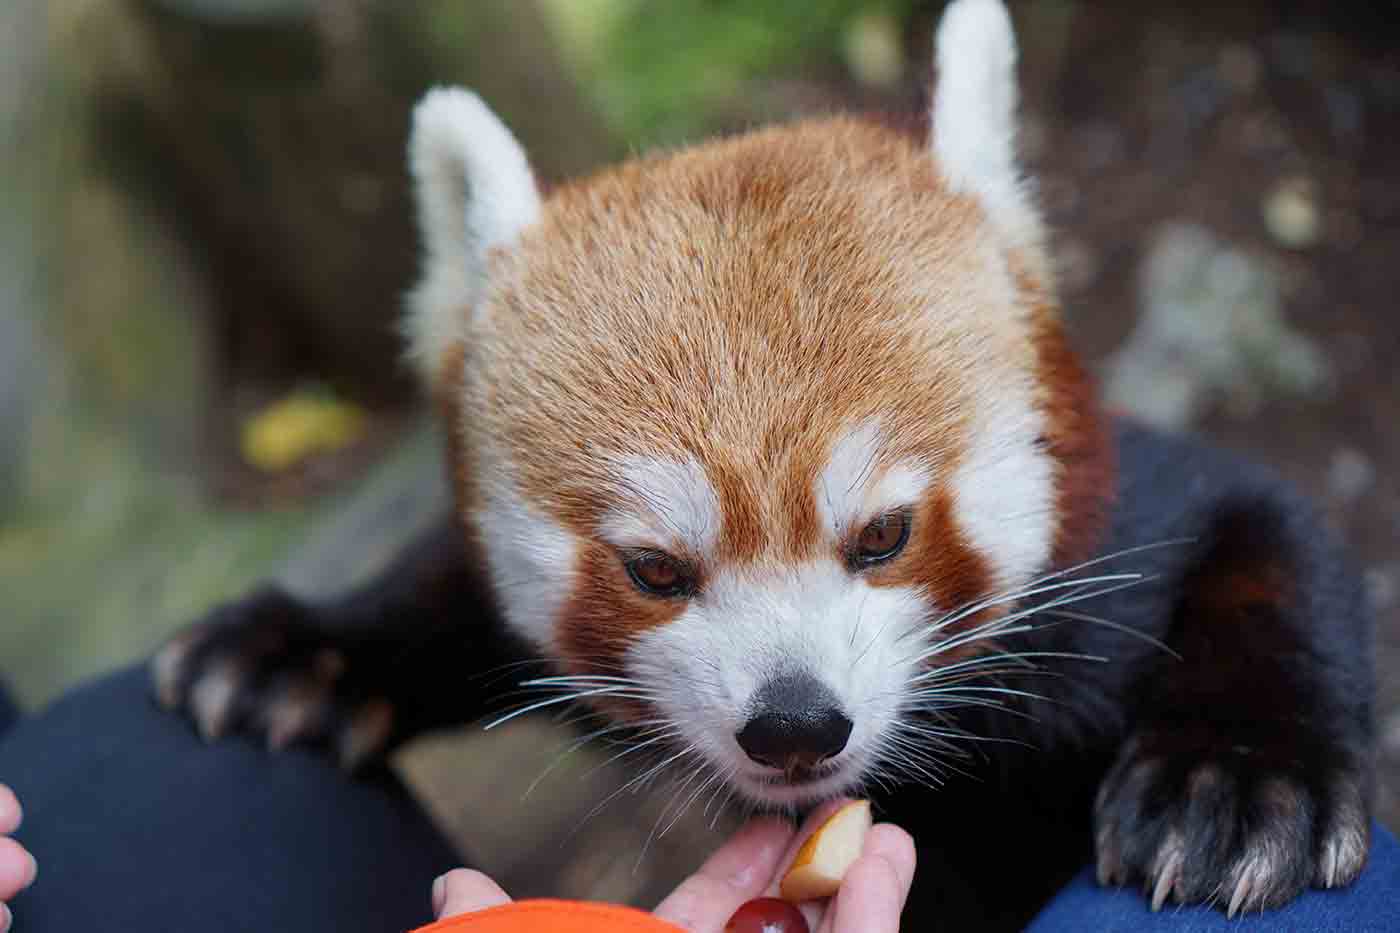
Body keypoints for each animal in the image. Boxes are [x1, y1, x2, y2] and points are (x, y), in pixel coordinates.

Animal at [153, 1, 1366, 924]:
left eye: (884, 534)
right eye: (652, 569)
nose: (793, 724)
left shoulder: (1109, 549)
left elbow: (1262, 535)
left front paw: (1238, 775)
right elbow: (453, 601)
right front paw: (303, 650)